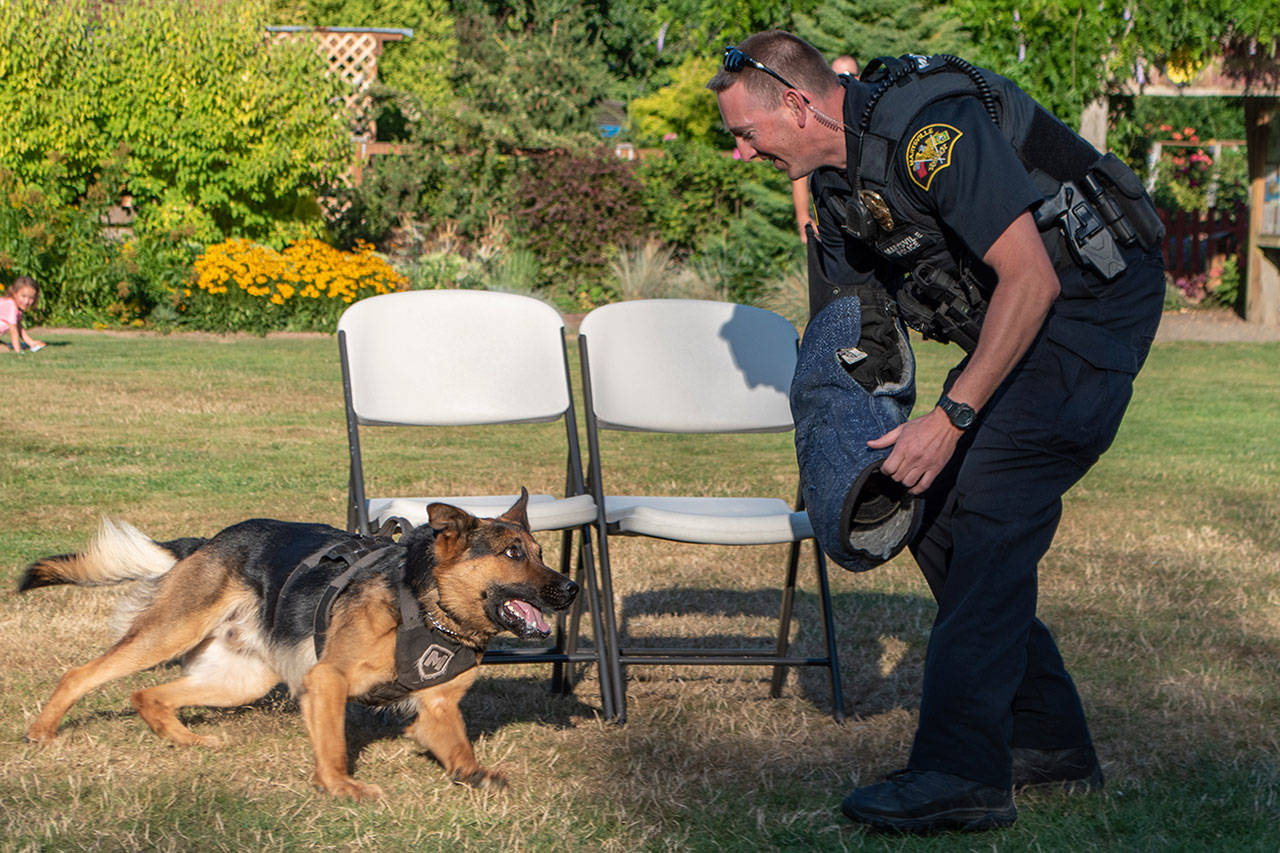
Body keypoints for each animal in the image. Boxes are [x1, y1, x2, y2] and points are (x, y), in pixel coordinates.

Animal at [15, 489, 573, 799]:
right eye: (513, 553)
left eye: (541, 553)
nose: (570, 589)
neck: (429, 606)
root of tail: (207, 542)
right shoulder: (327, 680)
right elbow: (334, 746)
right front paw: (340, 787)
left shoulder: (436, 710)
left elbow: (460, 752)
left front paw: (476, 777)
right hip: (169, 633)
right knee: (82, 675)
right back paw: (41, 732)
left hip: (242, 680)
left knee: (146, 695)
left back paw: (187, 740)